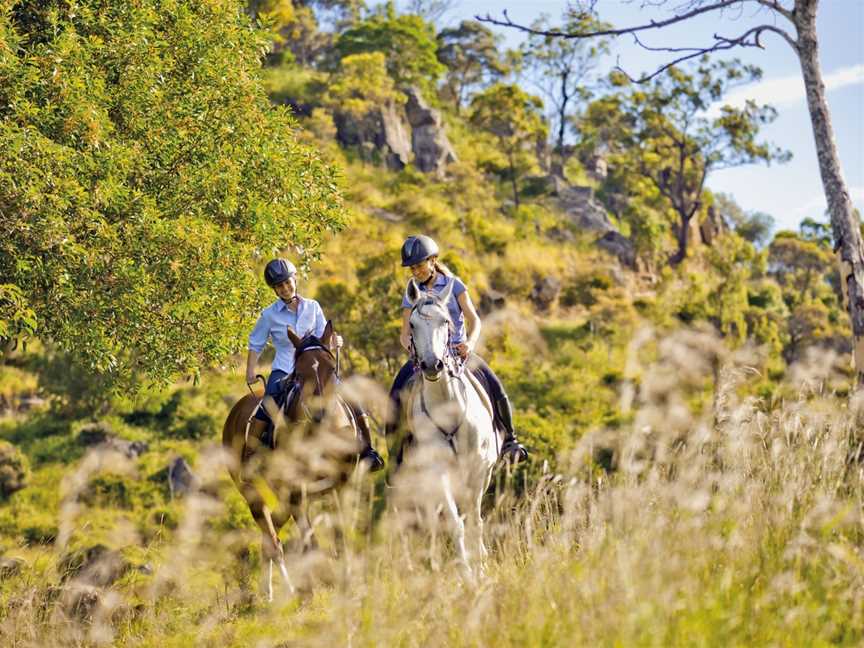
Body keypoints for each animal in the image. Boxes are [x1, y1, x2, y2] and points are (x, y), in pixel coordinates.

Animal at [223, 322, 364, 600]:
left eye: (331, 368)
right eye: (298, 372)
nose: (319, 412)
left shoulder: (341, 486)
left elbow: (341, 538)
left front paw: (346, 584)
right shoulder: (298, 493)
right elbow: (311, 542)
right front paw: (315, 588)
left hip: (282, 500)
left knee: (269, 538)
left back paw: (270, 591)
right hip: (254, 494)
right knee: (273, 542)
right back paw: (282, 591)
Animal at [398, 278, 500, 572]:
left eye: (445, 321)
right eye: (412, 325)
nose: (433, 365)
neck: (448, 408)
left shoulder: (477, 470)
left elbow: (475, 521)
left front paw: (481, 567)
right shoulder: (438, 472)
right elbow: (455, 524)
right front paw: (466, 572)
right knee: (432, 518)